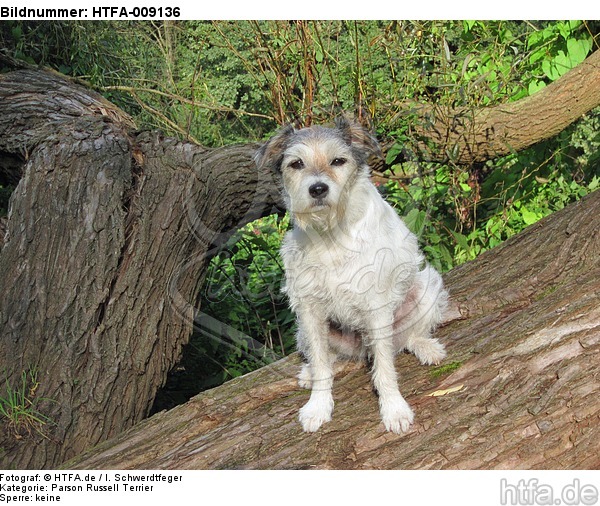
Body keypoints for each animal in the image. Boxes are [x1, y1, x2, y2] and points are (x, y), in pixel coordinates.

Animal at [255, 116, 448, 432]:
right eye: (296, 163)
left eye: (338, 160)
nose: (317, 189)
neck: (331, 234)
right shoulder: (309, 308)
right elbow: (322, 365)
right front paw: (318, 406)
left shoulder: (377, 306)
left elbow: (385, 369)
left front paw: (393, 409)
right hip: (306, 330)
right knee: (327, 357)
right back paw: (309, 372)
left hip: (427, 286)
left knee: (406, 339)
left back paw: (427, 348)